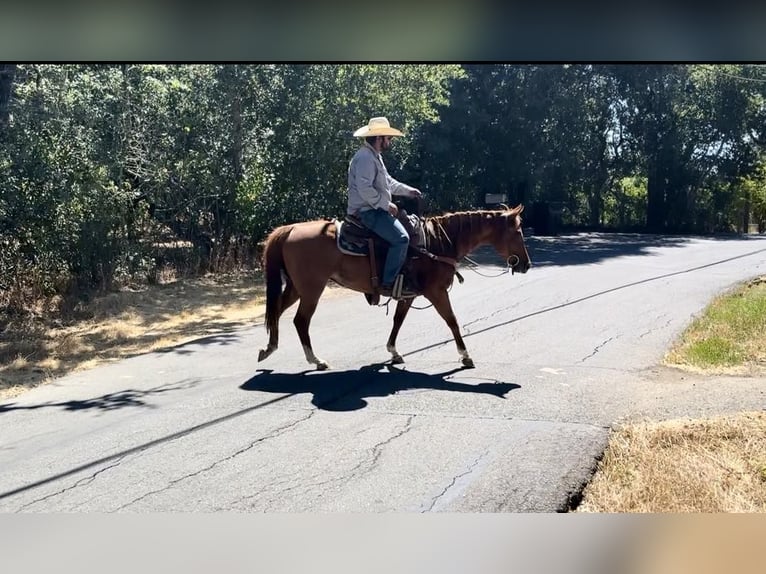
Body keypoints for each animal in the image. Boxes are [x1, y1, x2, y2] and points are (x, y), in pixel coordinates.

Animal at [255, 205, 532, 372]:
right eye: (517, 232)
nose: (526, 264)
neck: (437, 243)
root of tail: (290, 229)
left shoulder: (408, 295)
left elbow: (398, 321)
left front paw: (394, 352)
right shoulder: (436, 292)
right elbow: (452, 321)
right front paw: (465, 356)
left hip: (296, 287)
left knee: (277, 311)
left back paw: (269, 349)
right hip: (312, 288)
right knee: (301, 321)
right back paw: (316, 360)